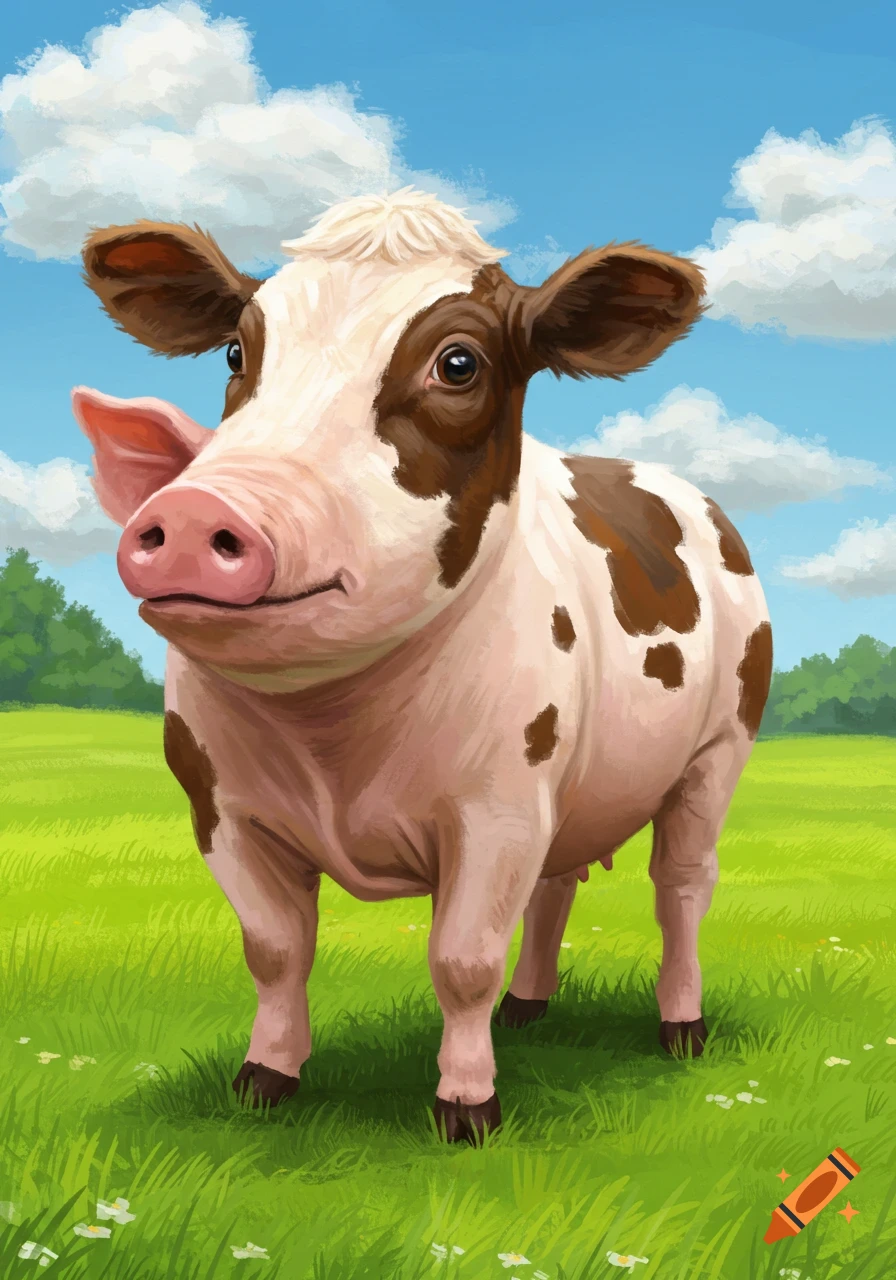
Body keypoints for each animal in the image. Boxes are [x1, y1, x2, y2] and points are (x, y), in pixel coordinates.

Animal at [72, 188, 772, 1144]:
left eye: (458, 362)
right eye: (236, 351)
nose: (190, 515)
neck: (334, 737)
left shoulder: (500, 809)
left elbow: (463, 959)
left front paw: (467, 1106)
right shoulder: (220, 810)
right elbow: (275, 949)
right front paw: (264, 1079)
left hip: (717, 753)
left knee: (684, 888)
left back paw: (682, 1026)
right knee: (557, 888)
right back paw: (529, 1009)